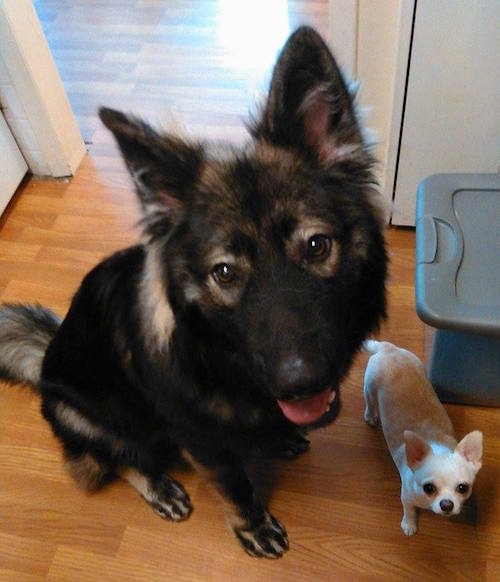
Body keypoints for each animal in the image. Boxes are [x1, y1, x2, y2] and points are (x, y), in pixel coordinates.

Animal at [0, 28, 386, 560]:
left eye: (316, 245)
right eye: (224, 273)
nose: (300, 384)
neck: (224, 362)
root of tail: (44, 359)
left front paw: (279, 435)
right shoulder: (202, 443)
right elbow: (236, 488)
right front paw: (252, 527)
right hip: (84, 418)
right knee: (115, 456)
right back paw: (158, 484)